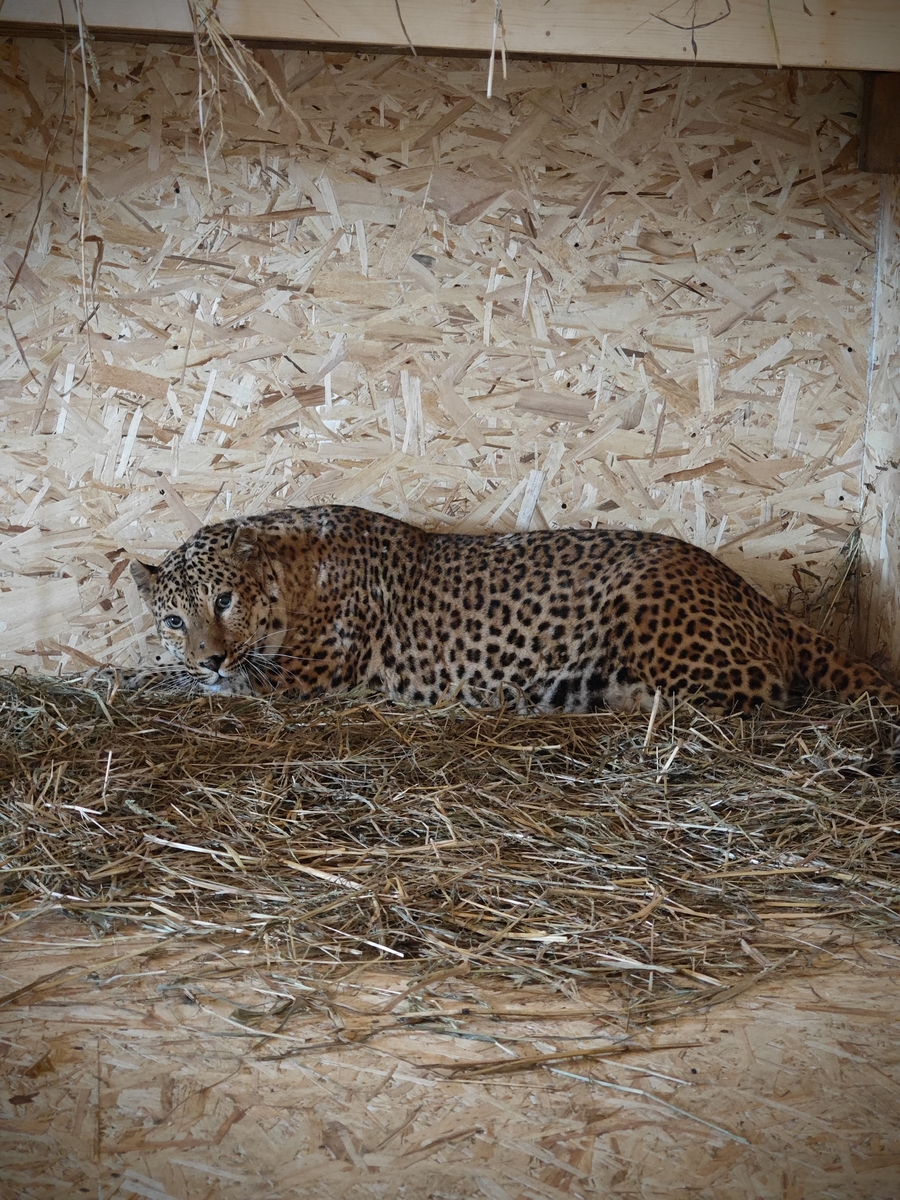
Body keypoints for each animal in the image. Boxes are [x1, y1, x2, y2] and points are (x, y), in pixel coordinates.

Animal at [128, 504, 900, 710]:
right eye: (173, 618)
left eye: (224, 599)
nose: (210, 657)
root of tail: (754, 594)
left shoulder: (299, 675)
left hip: (645, 604)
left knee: (754, 691)